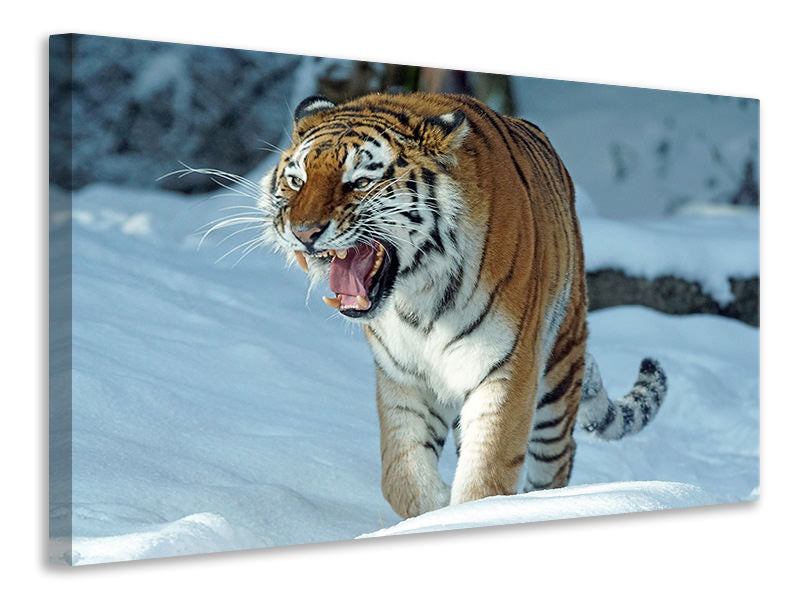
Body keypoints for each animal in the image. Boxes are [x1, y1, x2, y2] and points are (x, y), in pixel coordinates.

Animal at [257, 91, 667, 519]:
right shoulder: (404, 377)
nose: (303, 232)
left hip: (558, 371)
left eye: (361, 182)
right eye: (296, 181)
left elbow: (486, 477)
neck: (416, 296)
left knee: (558, 455)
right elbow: (400, 476)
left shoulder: (506, 369)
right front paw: (435, 509)